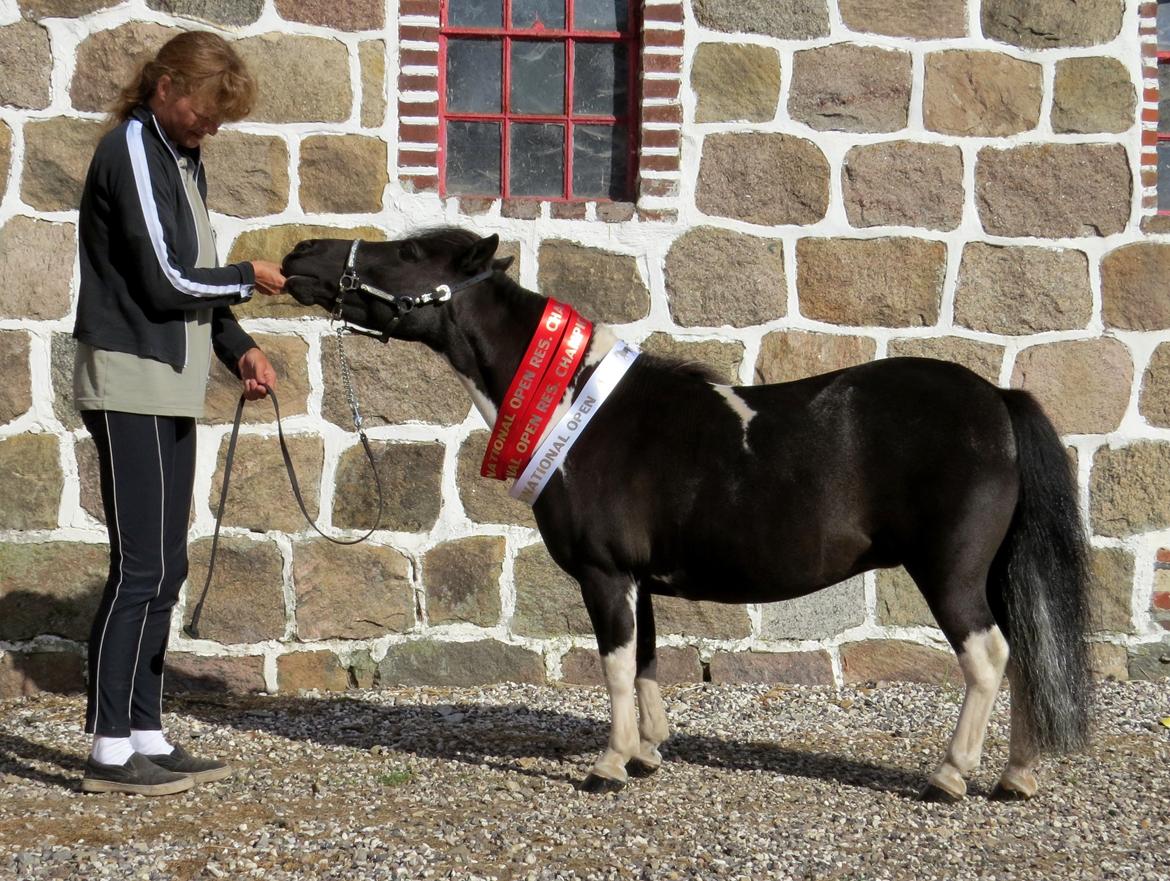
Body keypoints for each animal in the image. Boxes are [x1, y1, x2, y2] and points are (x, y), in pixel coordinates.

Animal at [283, 224, 1095, 795]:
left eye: (412, 252)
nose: (301, 254)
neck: (579, 407)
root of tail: (997, 399)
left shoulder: (605, 575)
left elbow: (613, 668)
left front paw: (608, 766)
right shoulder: (638, 580)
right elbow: (643, 662)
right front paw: (646, 754)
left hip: (950, 572)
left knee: (989, 659)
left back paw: (950, 775)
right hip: (993, 573)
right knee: (1027, 654)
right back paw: (1016, 777)